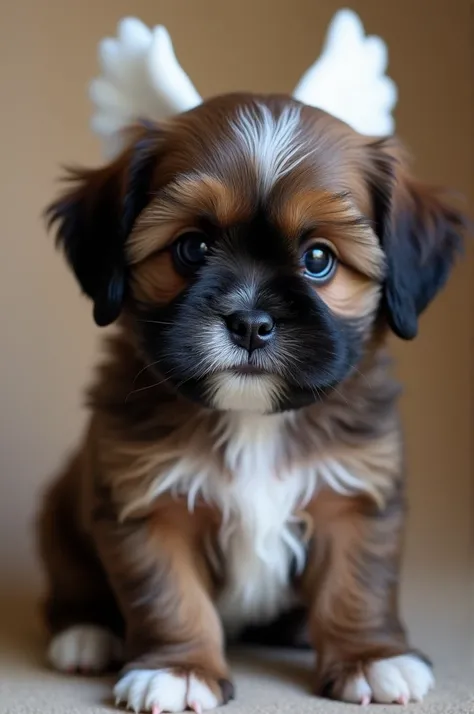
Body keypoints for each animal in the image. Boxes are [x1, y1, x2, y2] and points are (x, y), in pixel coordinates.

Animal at [38, 93, 466, 708]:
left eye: (318, 259)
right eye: (192, 248)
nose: (249, 323)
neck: (254, 420)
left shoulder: (354, 492)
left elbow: (358, 583)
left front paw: (370, 658)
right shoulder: (148, 500)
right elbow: (169, 597)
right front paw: (180, 669)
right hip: (58, 516)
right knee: (71, 582)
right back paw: (86, 632)